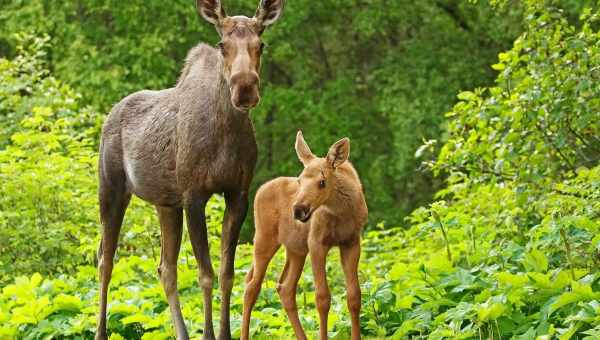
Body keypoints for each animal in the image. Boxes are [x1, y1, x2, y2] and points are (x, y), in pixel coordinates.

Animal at [95, 1, 286, 338]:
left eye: (260, 44)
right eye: (222, 45)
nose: (245, 88)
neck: (226, 134)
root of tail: (111, 114)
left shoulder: (237, 194)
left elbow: (226, 273)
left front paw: (224, 333)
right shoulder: (194, 195)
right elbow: (205, 273)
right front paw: (209, 333)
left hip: (166, 203)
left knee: (165, 268)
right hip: (112, 188)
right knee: (106, 258)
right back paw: (100, 331)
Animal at [241, 131, 368, 338]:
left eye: (322, 182)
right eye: (300, 180)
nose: (299, 210)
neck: (342, 212)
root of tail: (259, 190)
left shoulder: (351, 242)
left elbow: (354, 296)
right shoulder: (316, 243)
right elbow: (322, 298)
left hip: (296, 249)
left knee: (284, 288)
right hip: (263, 239)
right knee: (251, 286)